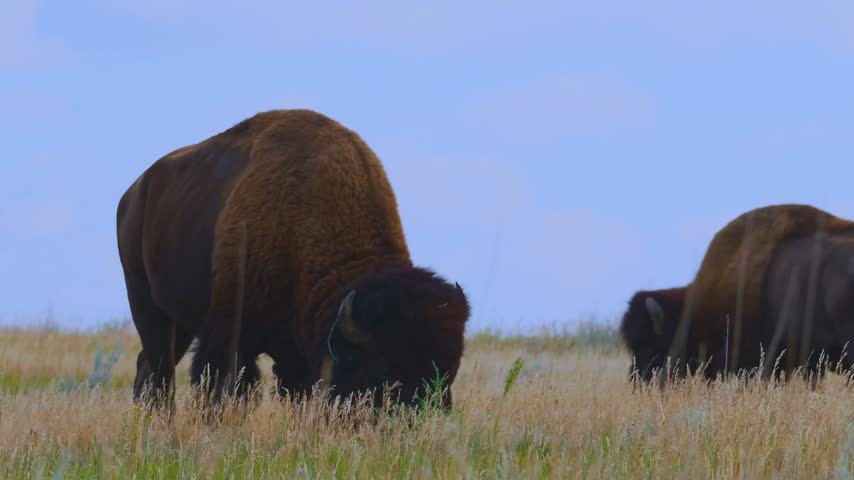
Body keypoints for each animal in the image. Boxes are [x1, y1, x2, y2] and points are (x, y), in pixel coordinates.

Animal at [116, 109, 471, 414]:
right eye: (383, 370)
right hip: (147, 303)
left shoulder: (294, 351)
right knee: (159, 372)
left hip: (181, 323)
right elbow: (225, 391)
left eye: (450, 371)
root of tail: (133, 192)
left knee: (147, 365)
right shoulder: (228, 337)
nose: (423, 418)